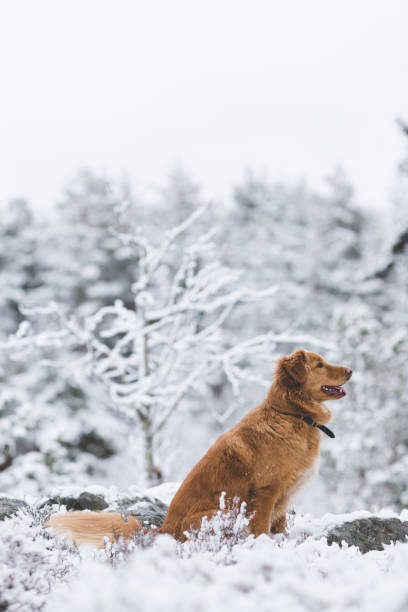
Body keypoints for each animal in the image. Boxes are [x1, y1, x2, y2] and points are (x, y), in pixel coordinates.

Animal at [45, 352, 350, 548]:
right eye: (320, 364)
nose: (350, 370)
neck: (291, 414)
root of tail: (163, 531)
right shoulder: (266, 491)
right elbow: (262, 528)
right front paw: (264, 546)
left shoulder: (284, 495)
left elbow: (280, 527)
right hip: (220, 513)